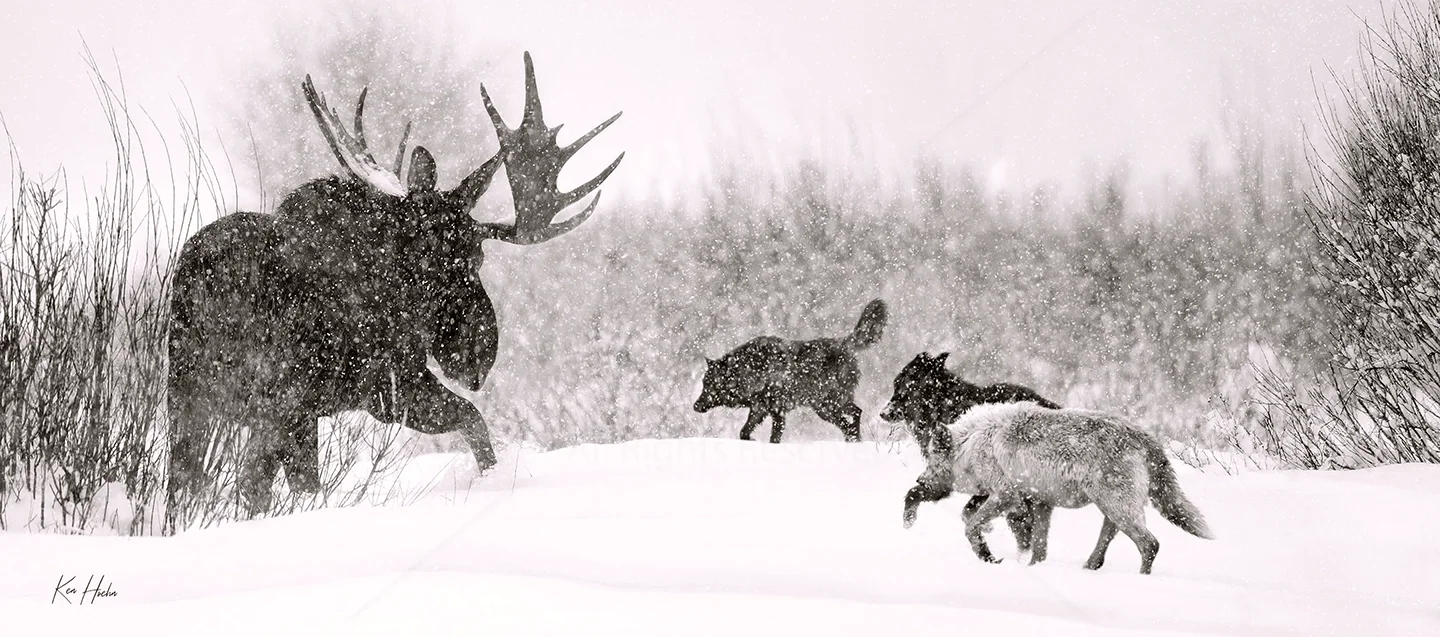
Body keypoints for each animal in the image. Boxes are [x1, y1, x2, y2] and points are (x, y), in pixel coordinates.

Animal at [165, 52, 622, 533]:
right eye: (473, 257)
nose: (479, 354)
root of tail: (196, 273)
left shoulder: (350, 401)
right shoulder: (387, 383)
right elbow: (474, 421)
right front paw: (493, 483)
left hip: (203, 399)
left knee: (194, 481)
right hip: (266, 401)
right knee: (245, 481)